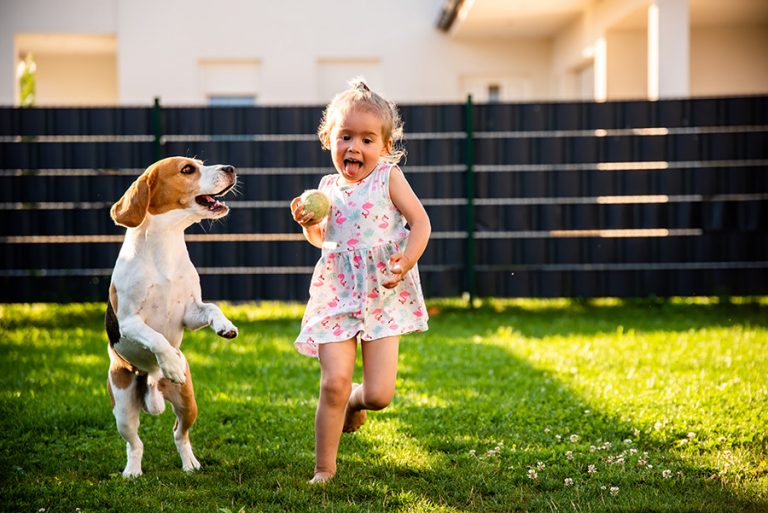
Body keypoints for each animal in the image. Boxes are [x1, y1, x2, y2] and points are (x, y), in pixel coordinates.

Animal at [105, 156, 237, 476]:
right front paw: (171, 364)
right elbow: (155, 338)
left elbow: (212, 307)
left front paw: (225, 326)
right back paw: (132, 471)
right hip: (122, 407)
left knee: (180, 433)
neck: (164, 243)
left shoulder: (190, 312)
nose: (231, 169)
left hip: (188, 402)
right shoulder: (129, 323)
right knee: (134, 443)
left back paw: (190, 463)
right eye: (187, 169)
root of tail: (153, 381)